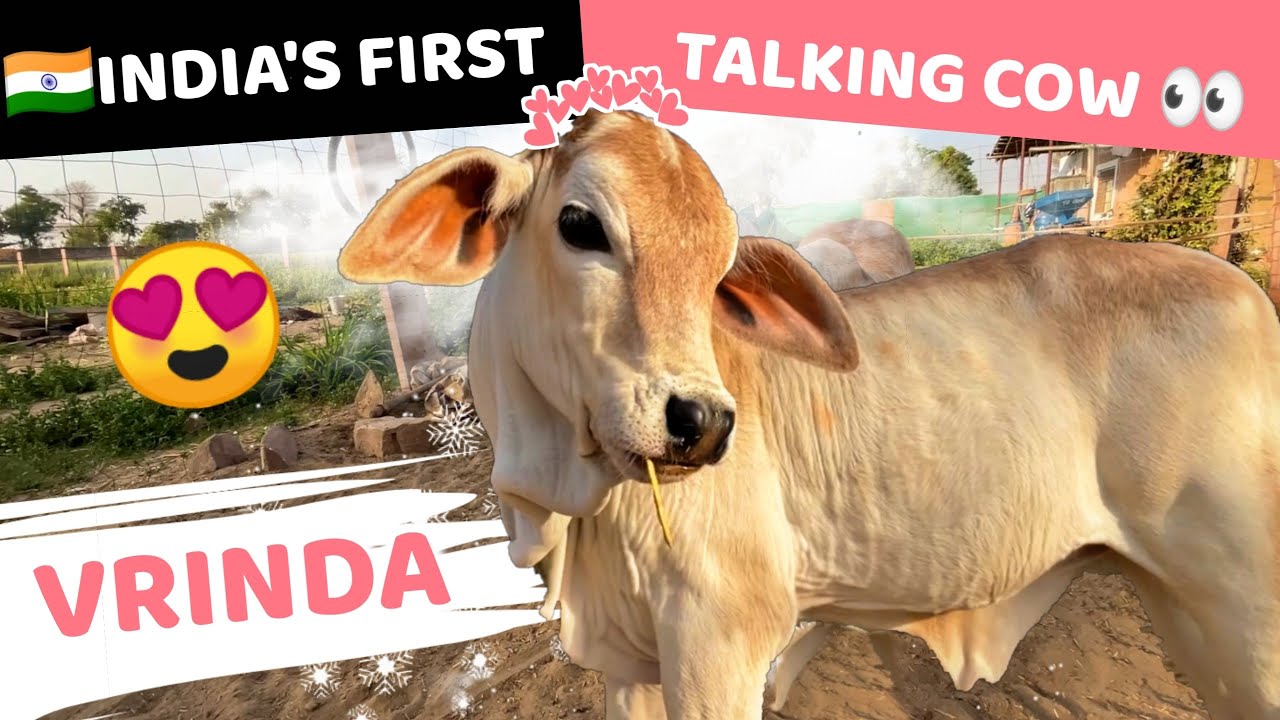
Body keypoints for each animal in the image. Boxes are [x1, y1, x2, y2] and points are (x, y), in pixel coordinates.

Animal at [336, 109, 1280, 720]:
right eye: (578, 222)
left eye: (720, 266)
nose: (703, 423)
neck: (571, 501)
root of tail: (1245, 292)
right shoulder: (630, 663)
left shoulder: (720, 644)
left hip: (1244, 615)